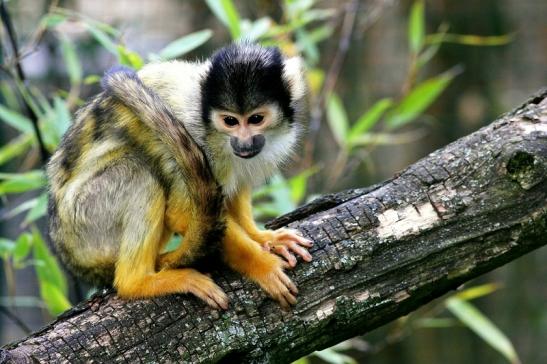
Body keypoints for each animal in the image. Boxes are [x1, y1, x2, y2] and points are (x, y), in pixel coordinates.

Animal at [46, 44, 312, 308]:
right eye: (230, 121)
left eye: (256, 119)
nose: (244, 143)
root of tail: (69, 255)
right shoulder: (193, 133)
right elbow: (181, 213)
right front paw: (262, 266)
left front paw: (264, 237)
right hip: (85, 224)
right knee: (138, 172)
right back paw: (137, 282)